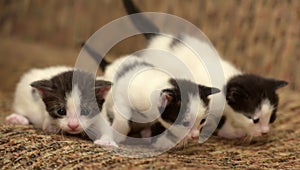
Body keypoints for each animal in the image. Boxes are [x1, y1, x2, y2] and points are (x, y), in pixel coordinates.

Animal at [121, 0, 288, 140]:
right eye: (255, 119)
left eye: (273, 117)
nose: (265, 131)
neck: (227, 78)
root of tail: (160, 38)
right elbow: (219, 123)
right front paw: (234, 132)